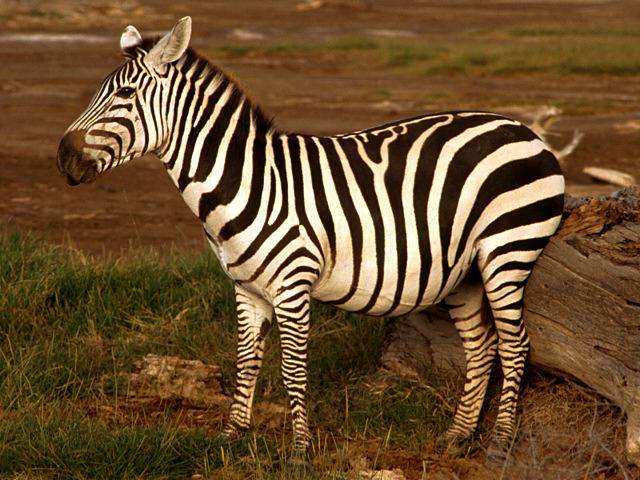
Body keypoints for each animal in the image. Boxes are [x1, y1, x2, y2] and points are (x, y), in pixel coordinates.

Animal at [57, 17, 565, 463]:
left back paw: (499, 443)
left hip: (507, 250)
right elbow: (246, 361)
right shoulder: (246, 289)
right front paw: (230, 438)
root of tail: (524, 130)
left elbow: (294, 370)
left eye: (124, 94)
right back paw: (458, 436)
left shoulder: (292, 284)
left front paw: (300, 451)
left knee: (515, 346)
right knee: (482, 346)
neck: (246, 182)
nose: (63, 157)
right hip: (465, 272)